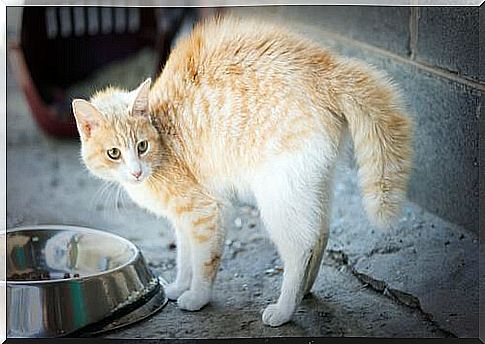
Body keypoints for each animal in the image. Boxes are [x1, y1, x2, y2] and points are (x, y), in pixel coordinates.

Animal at [72, 14, 412, 326]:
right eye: (114, 153)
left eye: (141, 146)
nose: (135, 172)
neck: (162, 138)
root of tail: (329, 68)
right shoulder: (183, 221)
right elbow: (184, 258)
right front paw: (179, 286)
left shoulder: (206, 211)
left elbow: (204, 261)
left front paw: (197, 297)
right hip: (313, 183)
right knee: (320, 233)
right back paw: (304, 291)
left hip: (278, 194)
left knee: (300, 248)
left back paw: (285, 309)